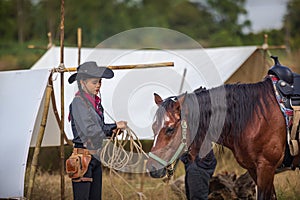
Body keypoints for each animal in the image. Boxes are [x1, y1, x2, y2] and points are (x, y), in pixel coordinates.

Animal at [146, 76, 288, 200]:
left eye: (170, 129)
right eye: (153, 127)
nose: (152, 168)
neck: (254, 118)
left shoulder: (266, 167)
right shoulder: (254, 169)